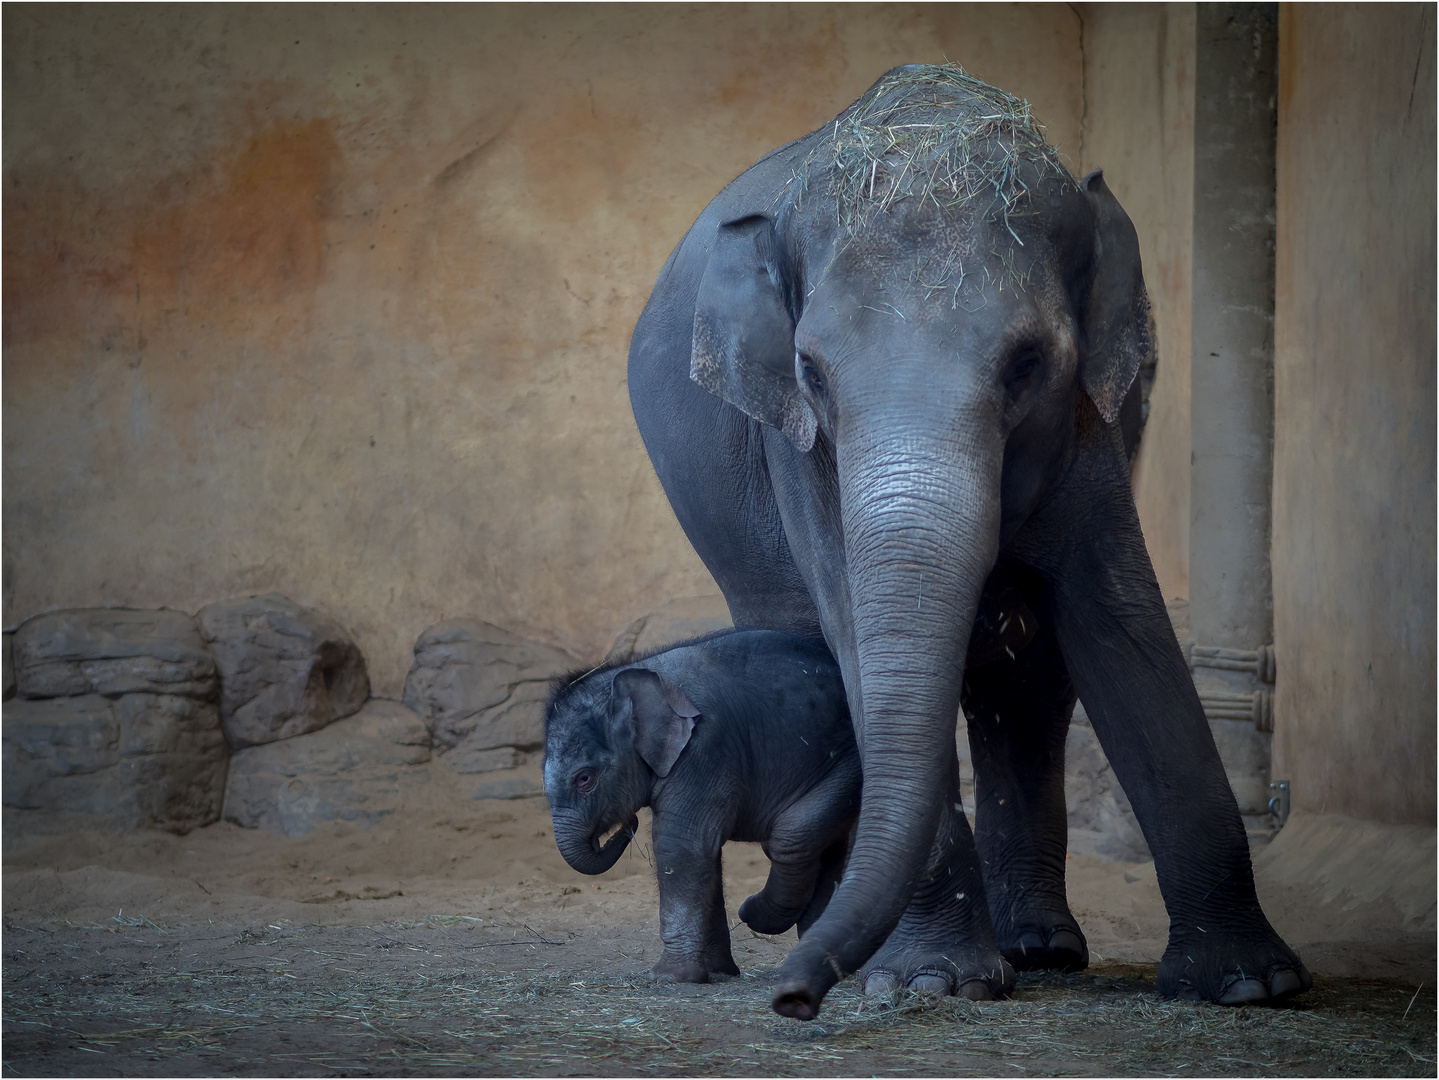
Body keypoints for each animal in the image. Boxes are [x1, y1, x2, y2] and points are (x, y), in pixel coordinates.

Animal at [543, 629, 857, 983]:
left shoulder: (705, 747)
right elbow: (706, 851)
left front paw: (668, 978)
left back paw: (758, 916)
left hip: (849, 759)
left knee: (790, 837)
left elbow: (681, 844)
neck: (636, 673)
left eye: (584, 778)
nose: (628, 824)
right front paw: (719, 972)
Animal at [624, 63, 1312, 1018]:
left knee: (1029, 689)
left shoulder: (1090, 424)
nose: (794, 1000)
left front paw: (1252, 983)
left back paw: (1036, 948)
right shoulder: (799, 454)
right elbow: (855, 634)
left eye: (1026, 364)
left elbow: (1120, 621)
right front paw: (926, 981)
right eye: (810, 372)